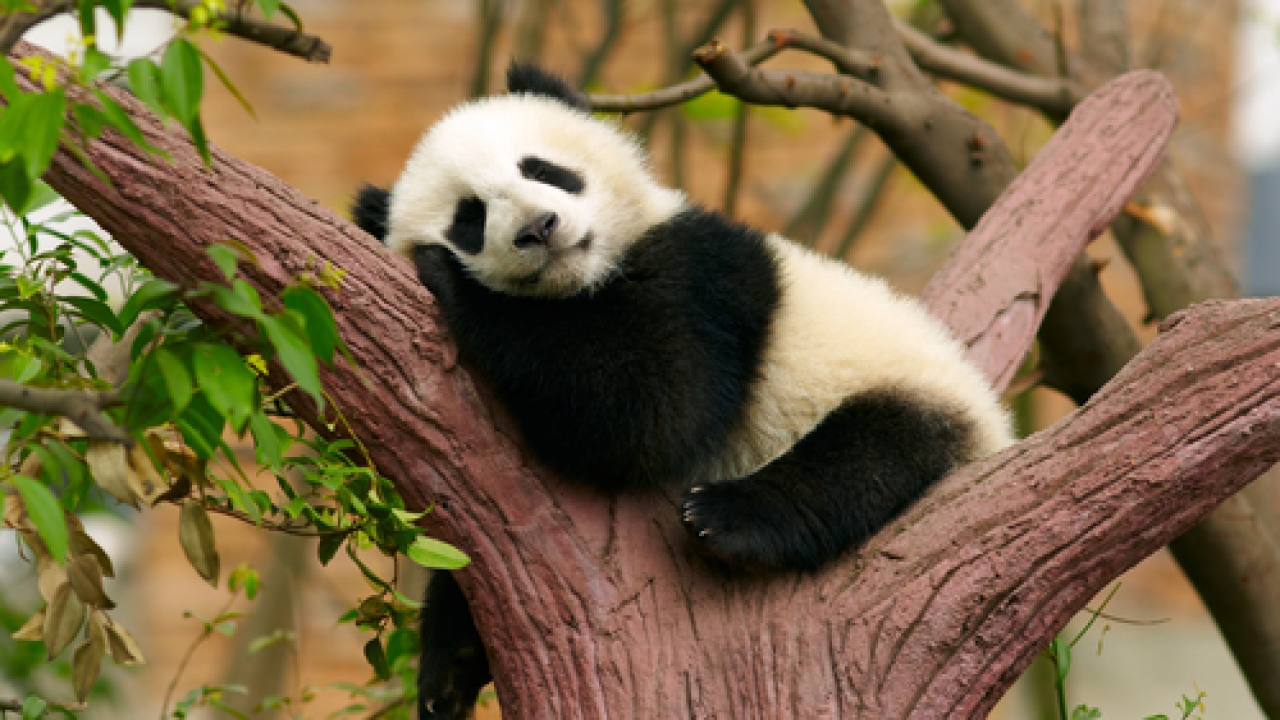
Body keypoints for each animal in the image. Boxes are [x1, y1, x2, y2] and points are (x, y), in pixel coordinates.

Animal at [352, 64, 1012, 720]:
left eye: (542, 169)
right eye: (469, 217)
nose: (539, 228)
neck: (584, 281)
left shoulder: (702, 277)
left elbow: (651, 410)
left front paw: (452, 280)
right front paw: (447, 669)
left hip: (908, 388)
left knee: (867, 455)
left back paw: (728, 517)